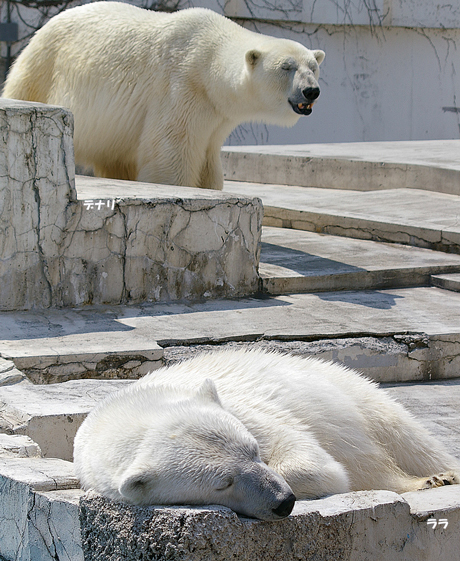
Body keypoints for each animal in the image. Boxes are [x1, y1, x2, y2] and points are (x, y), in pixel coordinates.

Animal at [4, 1, 328, 190]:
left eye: (313, 66)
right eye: (286, 67)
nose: (311, 90)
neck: (208, 58)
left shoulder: (217, 114)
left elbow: (208, 163)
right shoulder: (181, 88)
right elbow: (170, 154)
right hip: (42, 68)